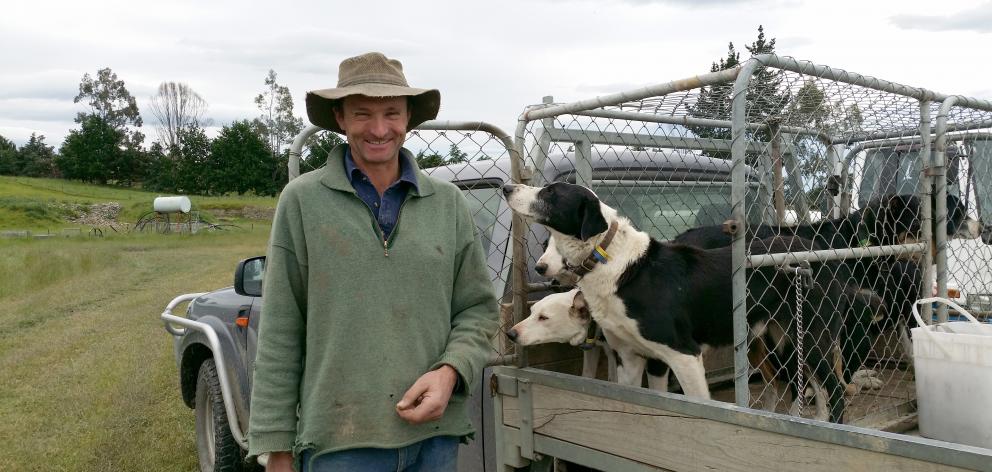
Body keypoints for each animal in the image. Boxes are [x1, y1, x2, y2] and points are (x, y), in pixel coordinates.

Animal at [508, 183, 848, 422]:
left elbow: (698, 406)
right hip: (785, 339)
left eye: (551, 192)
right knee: (811, 386)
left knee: (835, 389)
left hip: (810, 337)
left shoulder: (683, 354)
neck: (614, 264)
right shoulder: (631, 357)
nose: (506, 187)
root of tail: (812, 245)